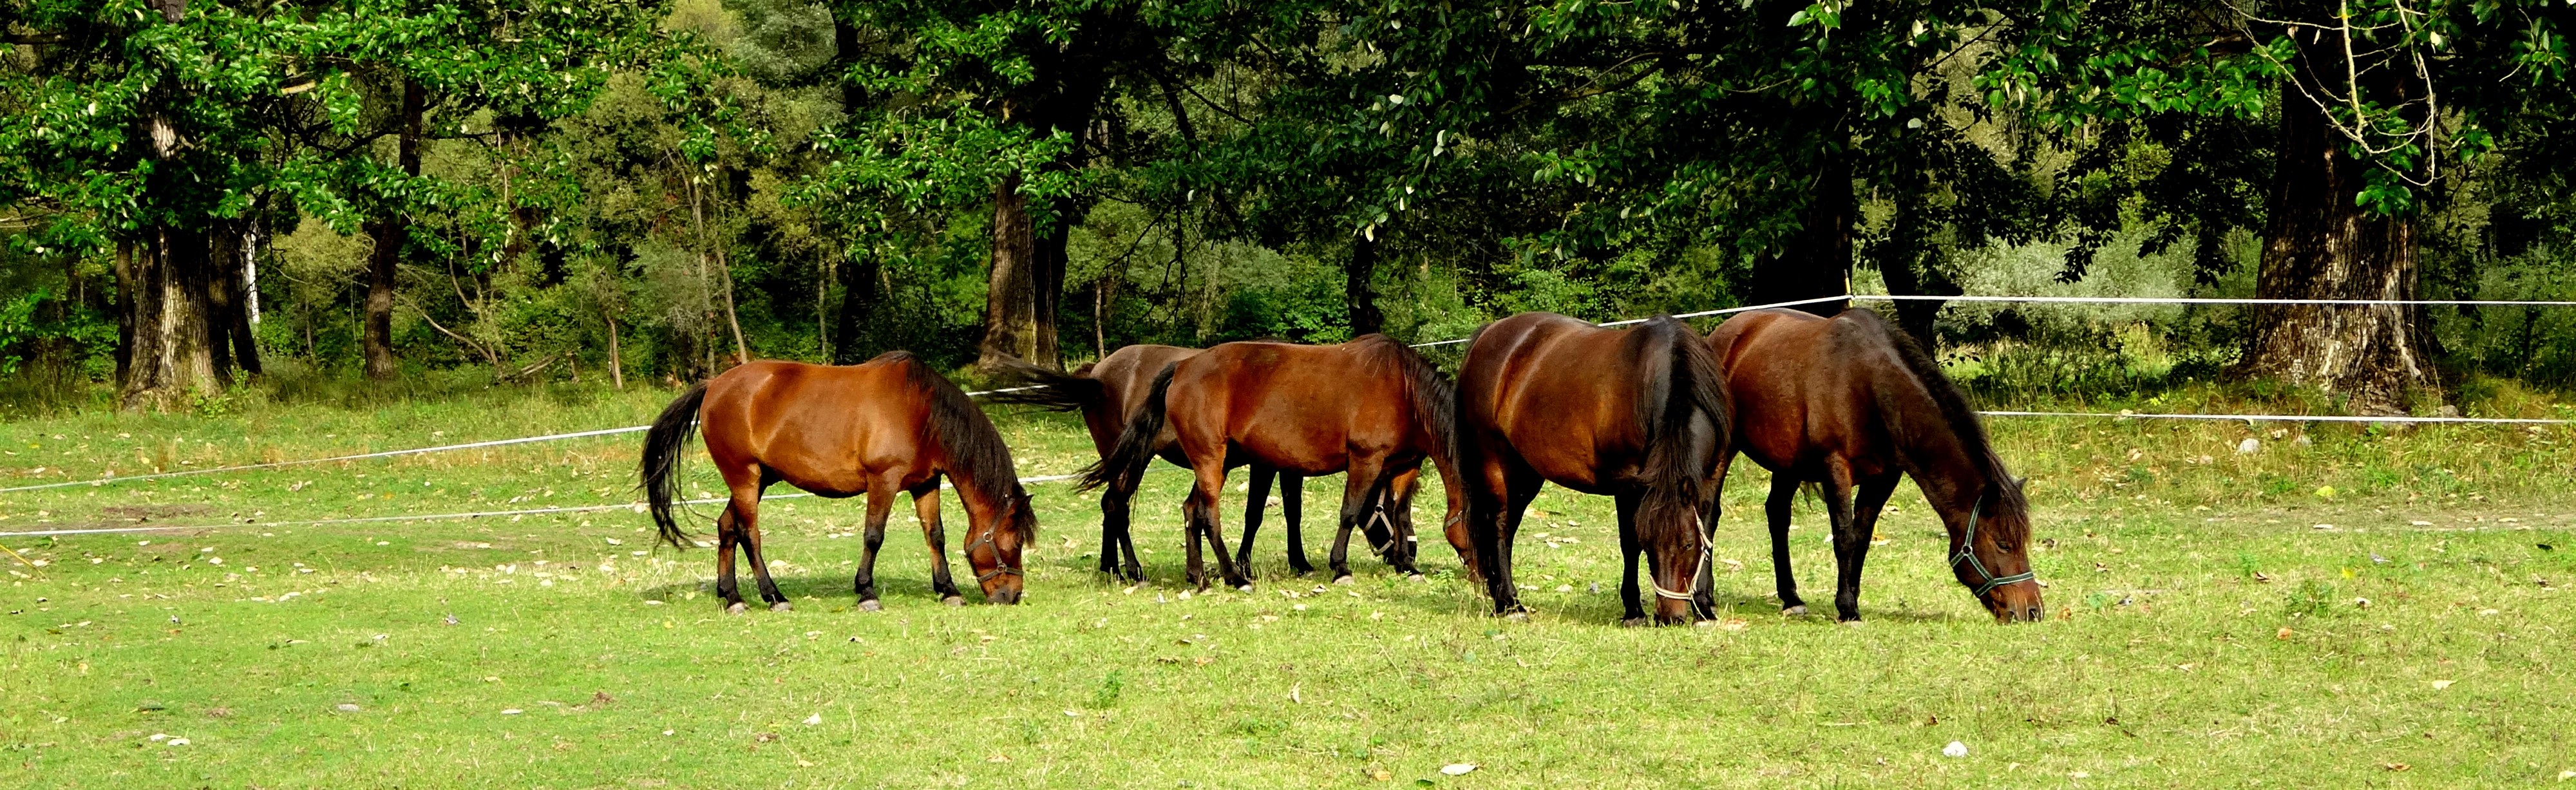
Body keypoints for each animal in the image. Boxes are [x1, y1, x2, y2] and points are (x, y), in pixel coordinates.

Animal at [639, 355, 1030, 620]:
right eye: (1014, 543)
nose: (1011, 596)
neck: (921, 410)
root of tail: (714, 386)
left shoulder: (926, 484)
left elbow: (935, 536)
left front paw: (948, 590)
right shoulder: (883, 480)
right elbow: (874, 536)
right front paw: (867, 593)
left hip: (759, 479)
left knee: (726, 528)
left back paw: (733, 598)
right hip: (744, 478)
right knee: (749, 534)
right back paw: (775, 597)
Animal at [984, 350, 1309, 584]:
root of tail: (1096, 373)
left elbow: (1292, 511)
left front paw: (1299, 562)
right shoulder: (1264, 465)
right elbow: (1255, 514)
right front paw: (1247, 565)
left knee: (1110, 505)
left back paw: (1111, 567)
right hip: (1131, 461)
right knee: (1116, 506)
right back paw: (1132, 569)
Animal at [1072, 337, 1473, 592]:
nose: (1480, 573)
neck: (1401, 388)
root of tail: (1182, 366)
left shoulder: (1405, 465)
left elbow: (1401, 513)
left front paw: (1409, 565)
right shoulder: (1364, 461)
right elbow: (1348, 513)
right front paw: (1340, 567)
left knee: (1187, 511)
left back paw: (1198, 577)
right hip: (1202, 460)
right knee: (1200, 515)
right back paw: (1232, 577)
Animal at [1453, 314, 1731, 625]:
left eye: (1687, 545)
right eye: (1650, 545)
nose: (1668, 617)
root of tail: (1488, 334)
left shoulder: (1712, 476)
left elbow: (1708, 531)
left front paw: (1704, 607)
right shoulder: (1627, 481)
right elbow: (1629, 542)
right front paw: (1633, 610)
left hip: (1525, 475)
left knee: (1508, 528)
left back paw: (1501, 598)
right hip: (1495, 462)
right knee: (1499, 526)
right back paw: (1511, 604)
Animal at [1700, 310, 2040, 625]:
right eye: (2003, 544)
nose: (2033, 610)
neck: (1868, 383)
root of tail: (1725, 335)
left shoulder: (1884, 478)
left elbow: (1862, 539)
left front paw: (1851, 598)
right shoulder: (1835, 468)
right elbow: (1844, 538)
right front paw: (1848, 608)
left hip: (1788, 464)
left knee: (1778, 515)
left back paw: (1791, 599)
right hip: (1726, 450)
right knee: (1710, 515)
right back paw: (1707, 597)